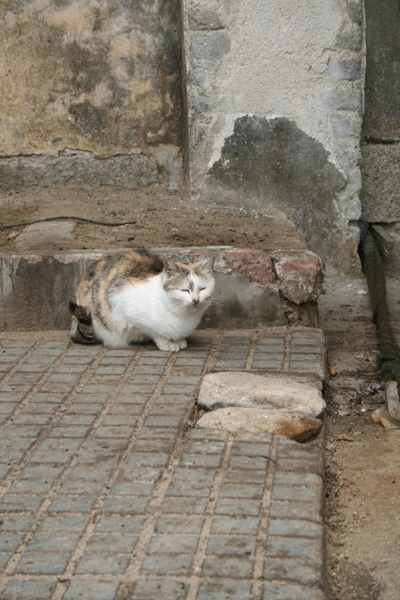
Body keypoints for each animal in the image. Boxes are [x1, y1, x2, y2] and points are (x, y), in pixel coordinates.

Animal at [69, 248, 216, 352]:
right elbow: (154, 331)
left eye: (202, 289)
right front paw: (167, 343)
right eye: (185, 290)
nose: (196, 300)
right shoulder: (123, 302)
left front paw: (179, 340)